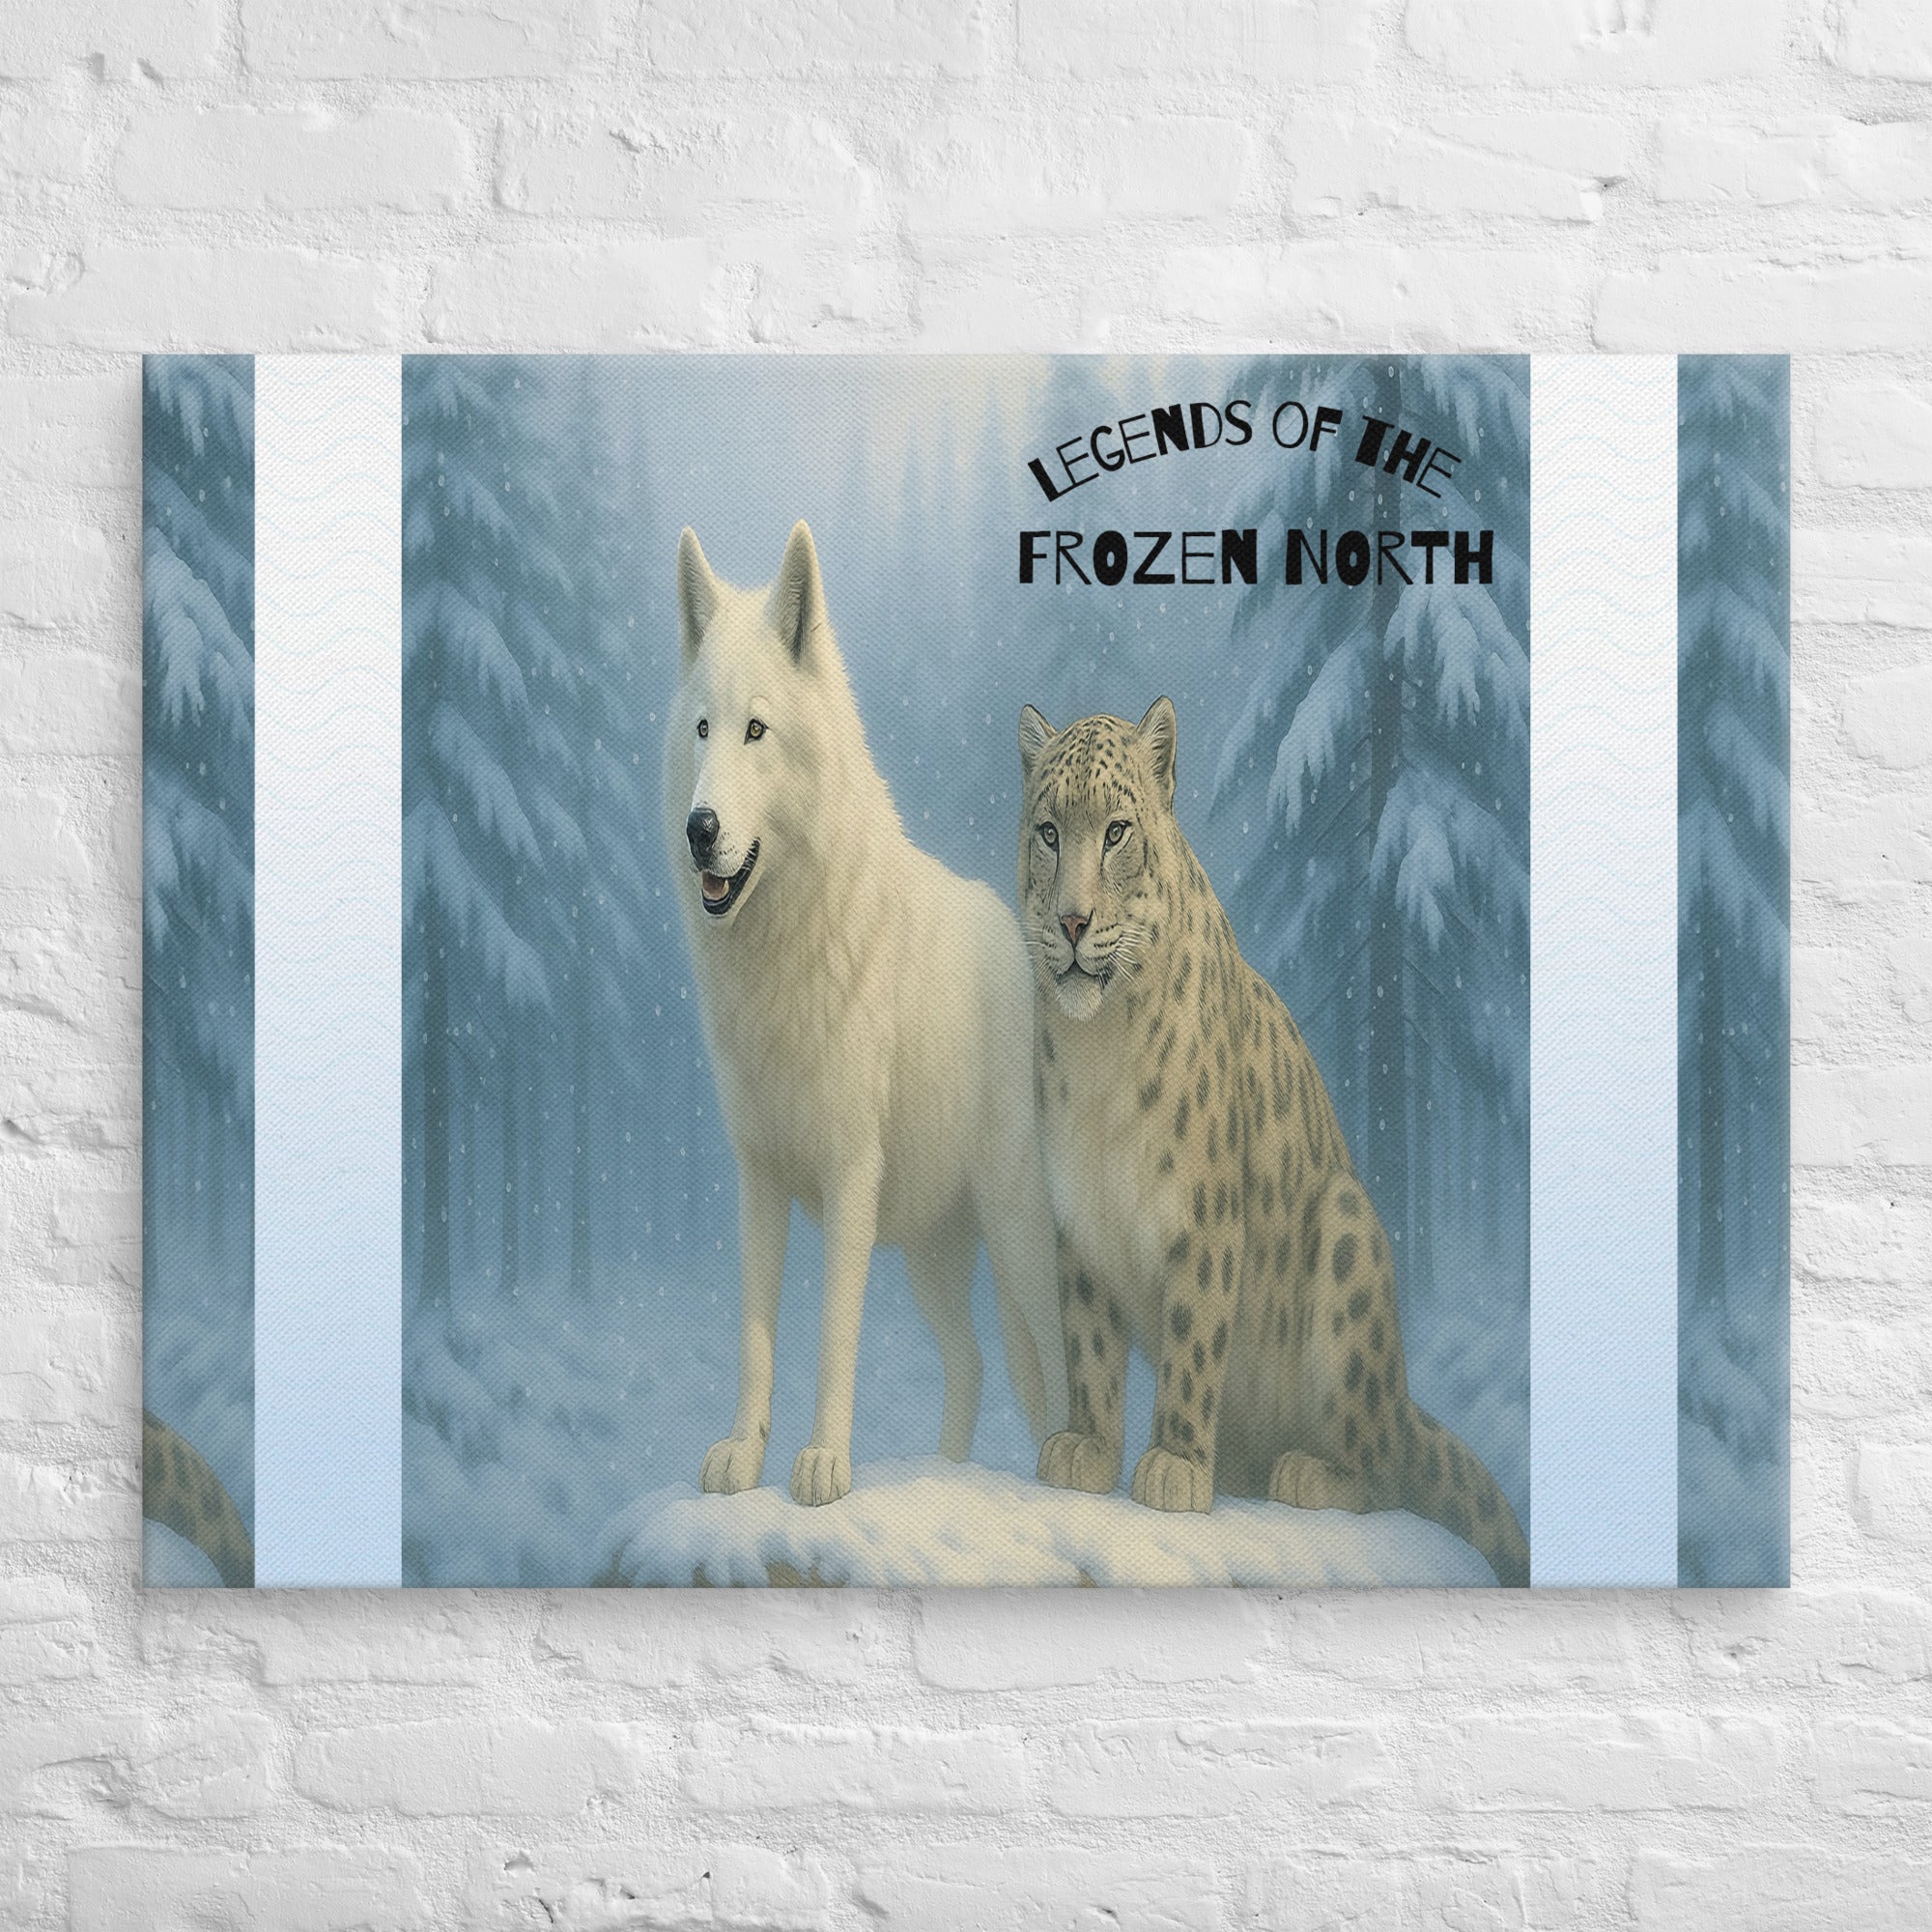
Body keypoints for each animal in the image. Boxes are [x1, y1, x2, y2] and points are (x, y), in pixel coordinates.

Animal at [664, 520, 1067, 1506]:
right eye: (703, 730)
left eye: (757, 729)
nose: (699, 829)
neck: (787, 945)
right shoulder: (760, 1179)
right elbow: (757, 1335)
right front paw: (743, 1457)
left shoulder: (849, 1177)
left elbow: (833, 1337)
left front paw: (824, 1465)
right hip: (930, 1255)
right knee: (973, 1365)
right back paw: (947, 1471)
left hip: (1016, 1234)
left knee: (1058, 1367)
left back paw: (1069, 1467)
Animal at [1017, 696, 1529, 1588]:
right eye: (1048, 831)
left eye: (1116, 831)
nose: (1072, 921)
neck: (1097, 1050)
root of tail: (1401, 1393)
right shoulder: (1079, 1221)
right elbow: (1089, 1347)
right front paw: (1087, 1447)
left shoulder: (1204, 1214)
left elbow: (1193, 1341)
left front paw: (1176, 1468)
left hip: (1349, 1237)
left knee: (1384, 1466)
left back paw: (1306, 1471)